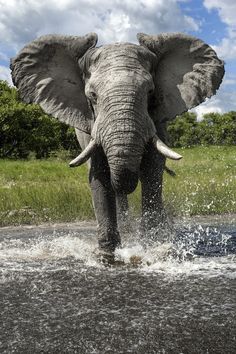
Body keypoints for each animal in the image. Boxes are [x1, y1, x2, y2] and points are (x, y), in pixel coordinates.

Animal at [11, 31, 224, 256]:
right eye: (92, 96)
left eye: (150, 92)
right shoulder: (90, 127)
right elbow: (99, 173)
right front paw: (108, 252)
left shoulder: (157, 120)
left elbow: (152, 170)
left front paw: (152, 245)